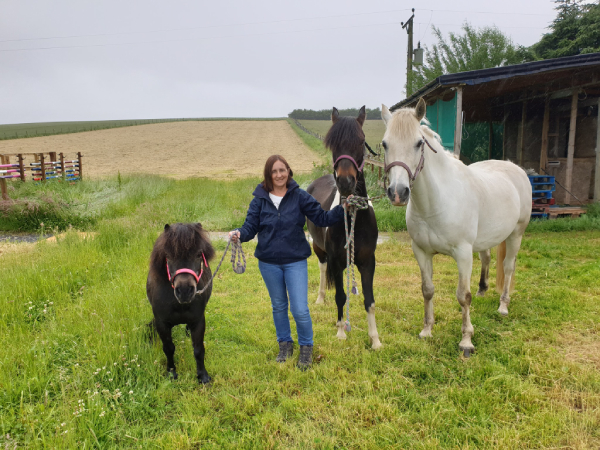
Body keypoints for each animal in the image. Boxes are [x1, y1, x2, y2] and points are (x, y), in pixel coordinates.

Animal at [146, 221, 216, 384]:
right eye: (168, 256)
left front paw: (203, 376)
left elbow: (198, 349)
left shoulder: (198, 321)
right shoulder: (162, 323)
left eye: (198, 254)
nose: (184, 291)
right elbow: (168, 348)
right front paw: (171, 373)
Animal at [308, 107, 382, 350]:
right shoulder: (336, 260)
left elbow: (370, 300)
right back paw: (320, 298)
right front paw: (341, 332)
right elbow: (340, 296)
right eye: (333, 144)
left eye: (360, 141)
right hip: (319, 250)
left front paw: (375, 339)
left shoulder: (368, 261)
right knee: (322, 269)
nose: (346, 181)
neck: (353, 216)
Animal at [382, 97, 532, 356]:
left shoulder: (463, 254)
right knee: (487, 258)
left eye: (418, 143)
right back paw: (483, 289)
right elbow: (427, 289)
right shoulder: (421, 252)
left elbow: (463, 296)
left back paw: (503, 306)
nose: (398, 193)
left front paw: (466, 341)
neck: (436, 203)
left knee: (508, 267)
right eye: (384, 144)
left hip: (516, 235)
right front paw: (426, 330)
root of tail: (516, 169)